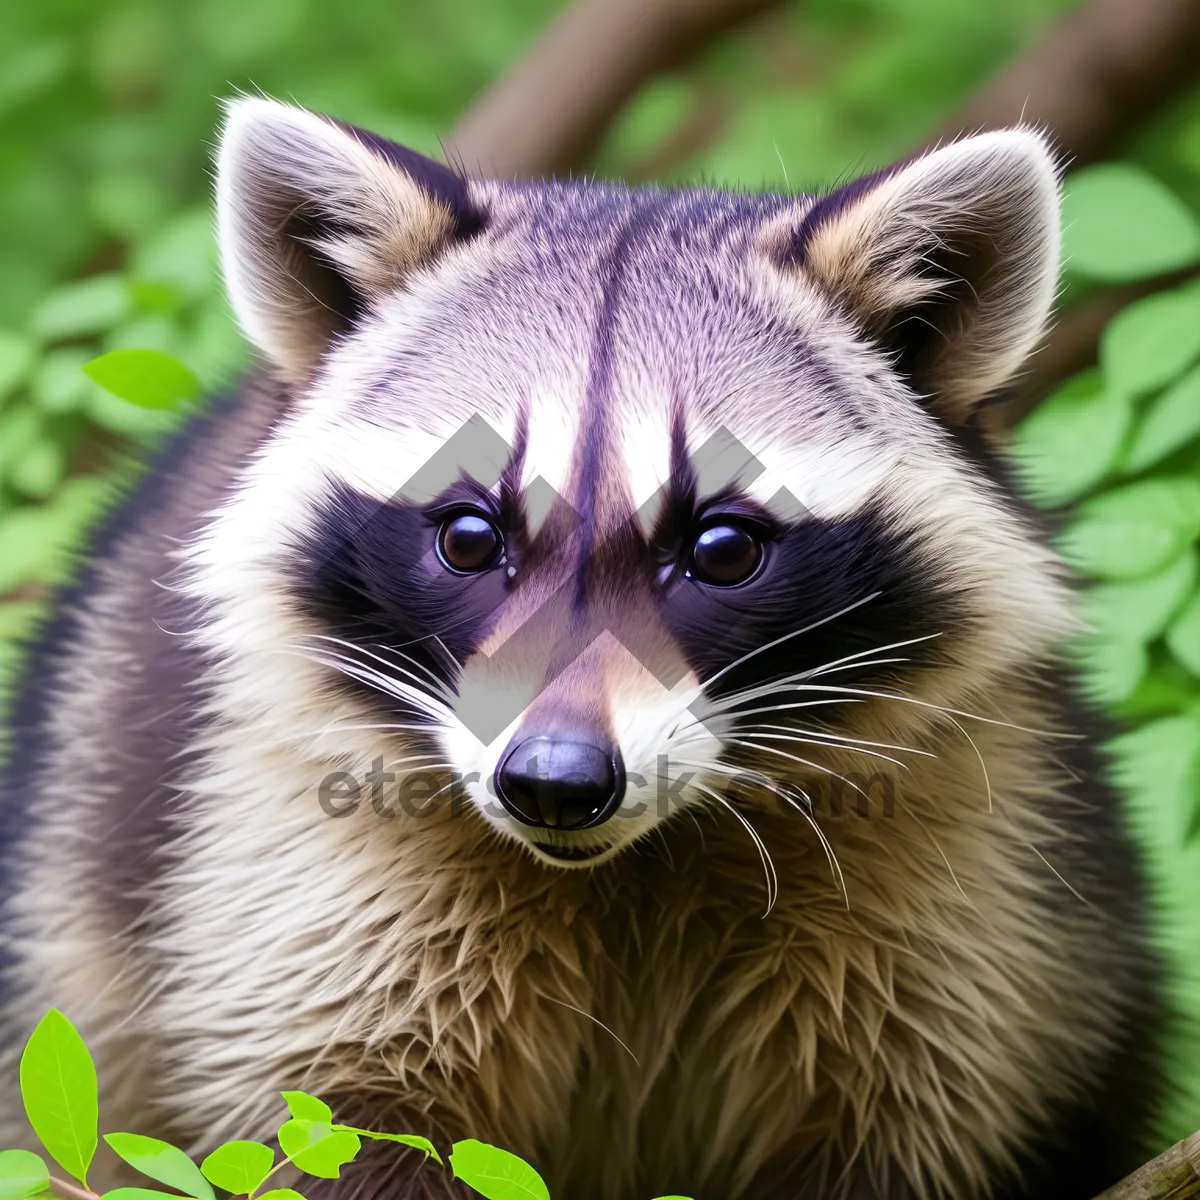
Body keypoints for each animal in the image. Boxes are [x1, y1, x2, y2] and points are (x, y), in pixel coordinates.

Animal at [0, 96, 1161, 1200]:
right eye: (470, 537)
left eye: (722, 548)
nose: (555, 783)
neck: (638, 859)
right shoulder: (283, 858)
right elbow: (332, 1115)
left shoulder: (967, 874)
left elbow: (922, 1114)